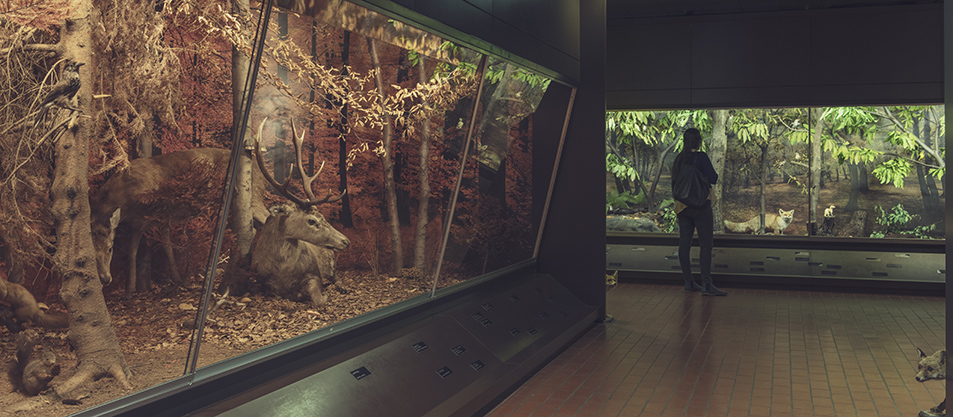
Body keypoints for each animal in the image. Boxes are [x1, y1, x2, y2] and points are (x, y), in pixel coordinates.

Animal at [672, 128, 724, 294]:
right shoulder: (704, 158)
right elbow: (713, 176)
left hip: (685, 217)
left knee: (683, 248)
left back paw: (691, 284)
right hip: (703, 213)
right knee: (706, 246)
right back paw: (709, 288)